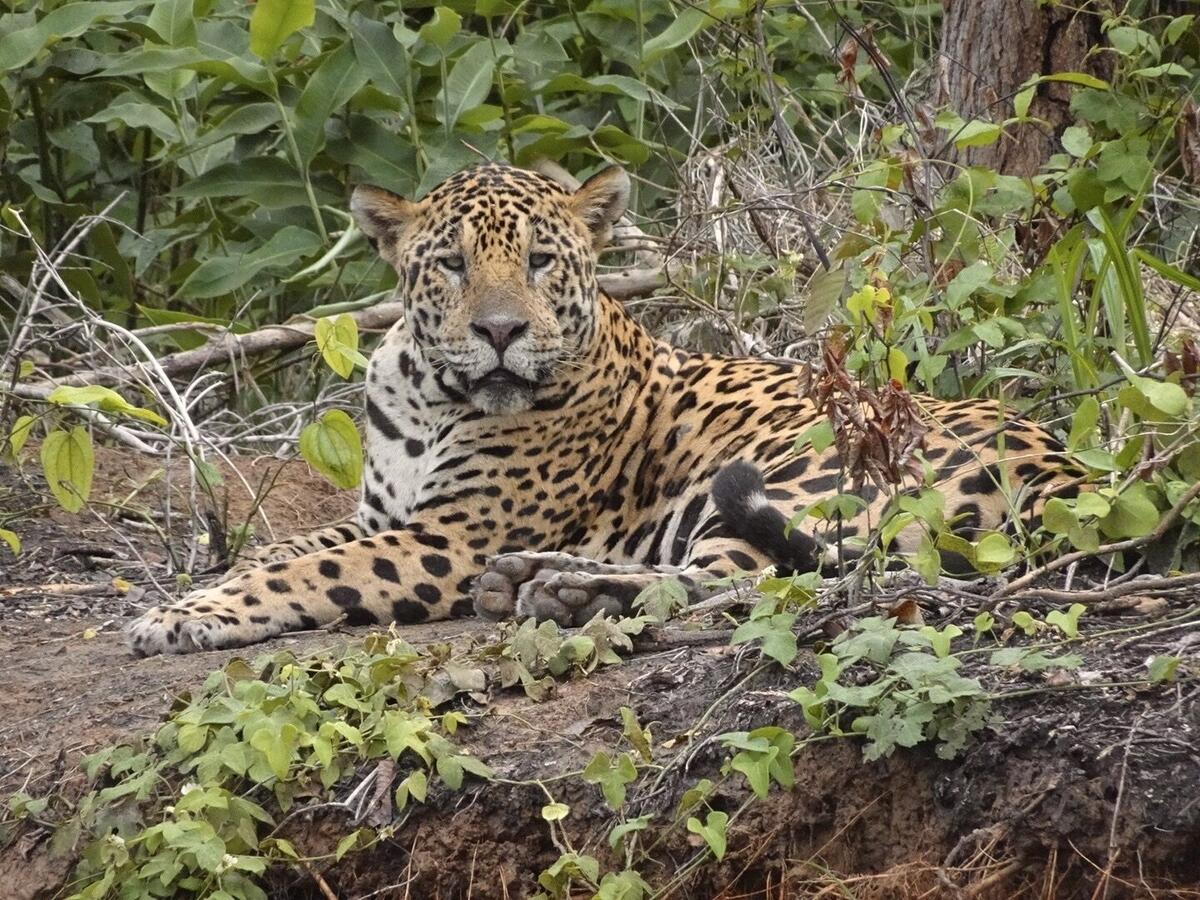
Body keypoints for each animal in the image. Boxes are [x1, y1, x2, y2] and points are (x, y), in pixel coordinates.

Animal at [127, 162, 1078, 656]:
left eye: (542, 261)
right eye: (452, 265)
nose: (501, 331)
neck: (434, 395)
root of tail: (1062, 464)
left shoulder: (449, 538)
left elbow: (305, 573)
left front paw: (180, 618)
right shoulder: (382, 516)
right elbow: (285, 548)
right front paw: (206, 590)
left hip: (802, 472)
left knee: (754, 584)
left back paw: (563, 590)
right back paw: (538, 584)